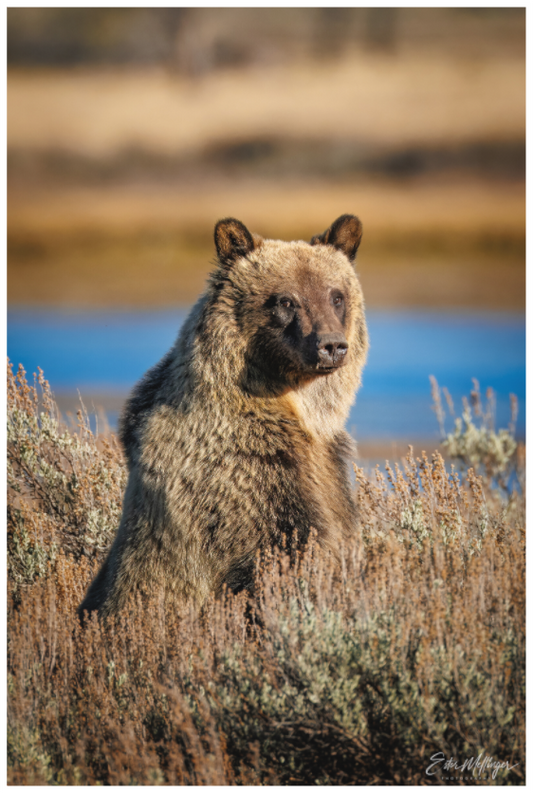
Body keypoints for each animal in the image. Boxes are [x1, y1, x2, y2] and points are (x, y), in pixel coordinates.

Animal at [79, 214, 368, 619]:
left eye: (336, 295)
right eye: (286, 300)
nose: (331, 345)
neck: (298, 408)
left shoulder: (329, 470)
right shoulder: (246, 475)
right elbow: (284, 554)